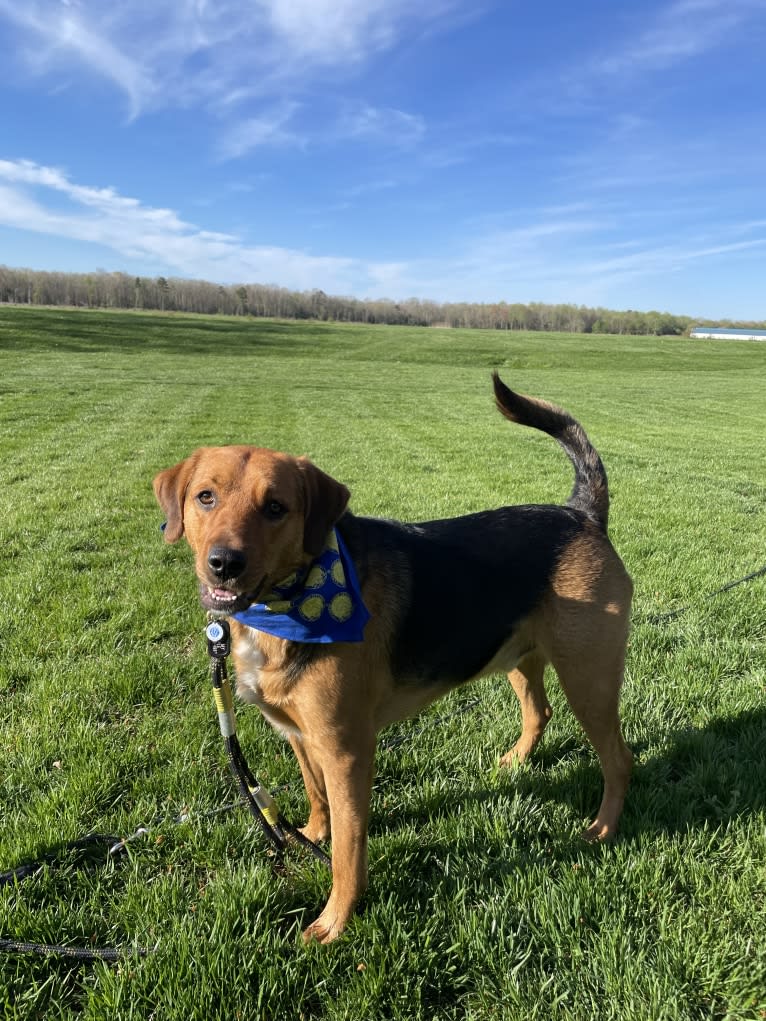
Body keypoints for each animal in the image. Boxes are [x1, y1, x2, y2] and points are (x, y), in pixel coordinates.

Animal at [153, 373, 633, 939]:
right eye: (204, 497)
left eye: (275, 508)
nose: (224, 564)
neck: (287, 602)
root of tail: (581, 513)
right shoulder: (300, 735)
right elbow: (317, 801)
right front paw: (309, 835)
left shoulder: (346, 750)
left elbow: (347, 849)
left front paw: (335, 921)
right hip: (515, 654)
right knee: (539, 711)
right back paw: (515, 763)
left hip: (588, 678)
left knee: (619, 759)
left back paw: (602, 828)